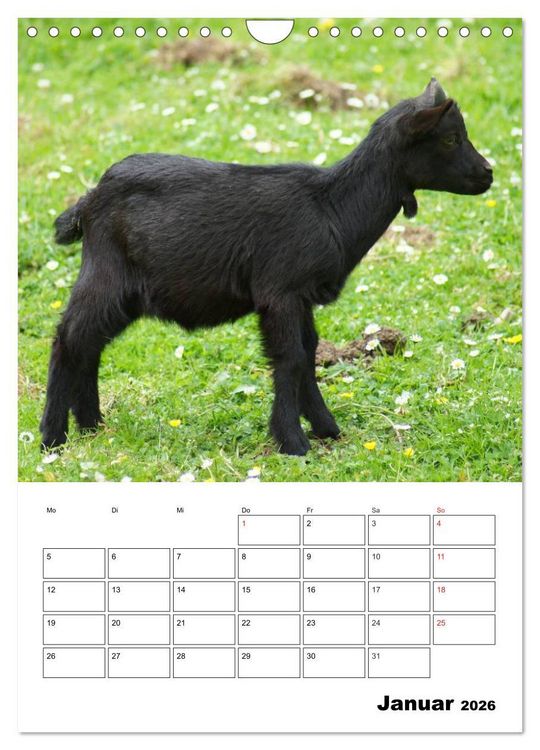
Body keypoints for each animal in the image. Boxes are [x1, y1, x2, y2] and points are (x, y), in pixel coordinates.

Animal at [40, 78, 493, 456]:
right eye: (451, 138)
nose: (488, 173)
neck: (331, 207)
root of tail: (89, 200)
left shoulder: (302, 295)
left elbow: (308, 352)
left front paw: (327, 429)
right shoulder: (280, 291)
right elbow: (289, 357)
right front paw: (292, 441)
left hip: (126, 291)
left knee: (90, 343)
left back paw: (91, 427)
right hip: (107, 273)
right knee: (69, 339)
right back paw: (52, 438)